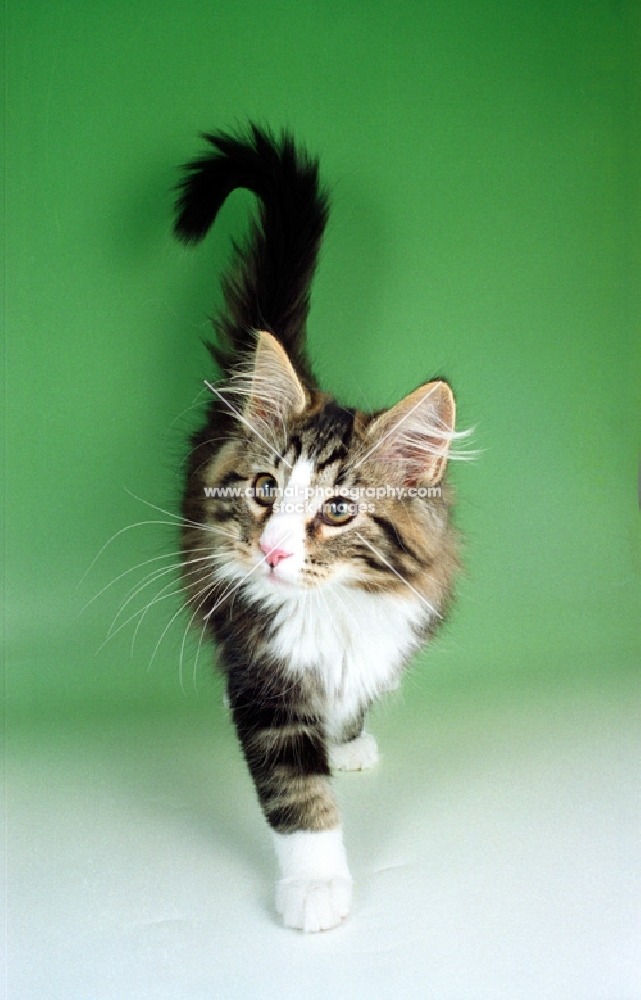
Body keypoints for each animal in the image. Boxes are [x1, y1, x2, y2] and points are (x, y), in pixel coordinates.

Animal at [175, 123, 464, 928]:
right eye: (265, 490)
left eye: (337, 510)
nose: (272, 553)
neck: (334, 605)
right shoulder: (264, 673)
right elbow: (297, 793)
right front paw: (315, 888)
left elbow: (351, 694)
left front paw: (347, 739)